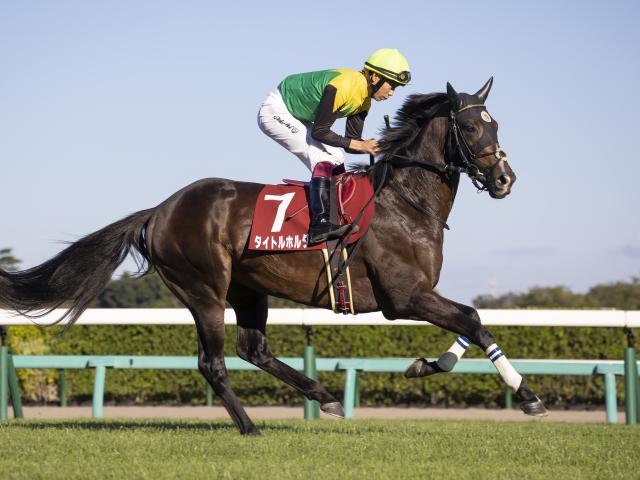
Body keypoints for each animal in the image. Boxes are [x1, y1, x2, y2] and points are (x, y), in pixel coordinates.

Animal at [1, 79, 544, 436]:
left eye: (495, 123)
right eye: (470, 126)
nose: (505, 179)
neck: (404, 202)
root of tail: (158, 210)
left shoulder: (416, 296)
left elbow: (472, 321)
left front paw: (426, 365)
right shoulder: (404, 297)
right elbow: (473, 319)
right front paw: (529, 397)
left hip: (247, 288)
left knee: (253, 349)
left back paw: (326, 398)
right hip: (204, 289)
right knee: (214, 363)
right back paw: (250, 427)